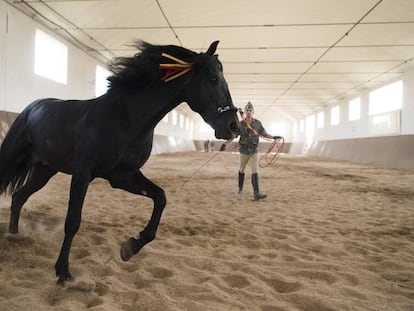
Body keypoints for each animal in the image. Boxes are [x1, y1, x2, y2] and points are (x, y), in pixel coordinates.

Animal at [0, 40, 239, 286]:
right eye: (213, 77)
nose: (234, 126)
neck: (124, 120)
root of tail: (32, 108)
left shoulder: (123, 176)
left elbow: (160, 198)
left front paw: (130, 247)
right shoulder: (83, 173)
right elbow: (73, 220)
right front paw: (63, 272)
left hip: (45, 170)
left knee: (19, 197)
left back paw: (14, 236)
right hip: (13, 160)